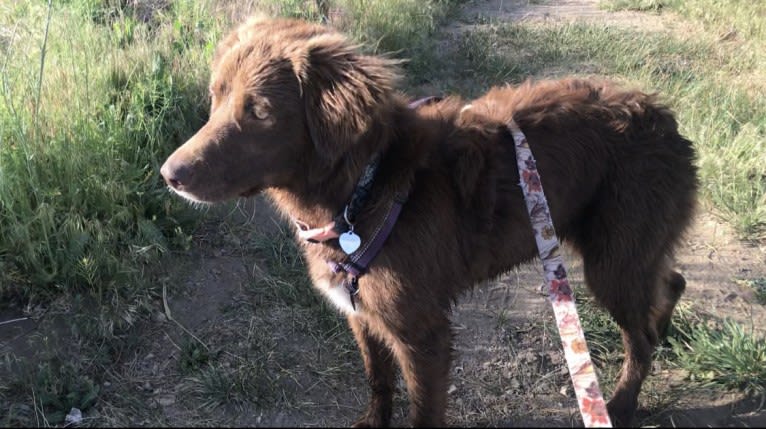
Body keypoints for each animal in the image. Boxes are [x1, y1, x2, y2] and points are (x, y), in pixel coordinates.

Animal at [162, 15, 704, 424]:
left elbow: (422, 409)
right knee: (670, 282)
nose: (170, 175)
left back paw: (622, 403)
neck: (363, 189)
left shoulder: (422, 334)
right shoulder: (362, 314)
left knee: (640, 338)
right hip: (629, 252)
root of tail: (665, 119)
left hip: (611, 261)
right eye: (215, 97)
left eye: (259, 111)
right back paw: (664, 326)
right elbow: (378, 380)